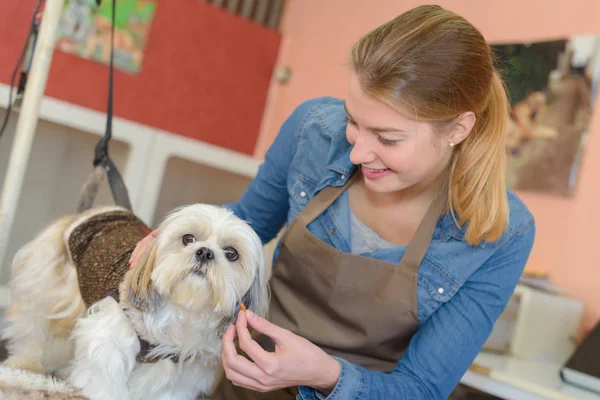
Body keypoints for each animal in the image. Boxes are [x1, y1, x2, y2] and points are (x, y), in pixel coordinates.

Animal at [1, 205, 270, 398]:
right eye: (188, 239)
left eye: (231, 253)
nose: (205, 252)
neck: (183, 312)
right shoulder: (110, 338)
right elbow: (104, 380)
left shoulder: (178, 370)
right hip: (44, 286)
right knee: (31, 327)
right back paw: (25, 362)